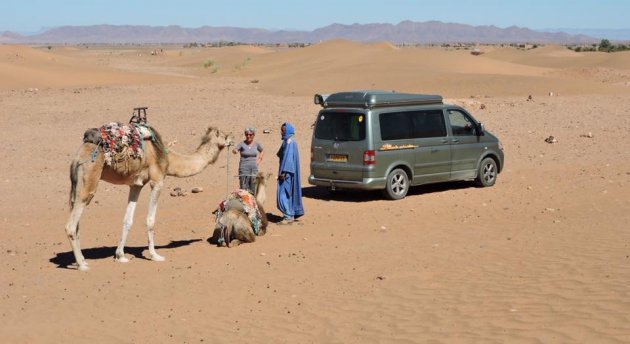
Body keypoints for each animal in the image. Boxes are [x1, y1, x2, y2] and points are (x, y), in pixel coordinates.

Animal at [66, 124, 235, 272]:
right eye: (224, 135)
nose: (233, 140)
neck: (168, 159)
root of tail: (77, 158)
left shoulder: (136, 185)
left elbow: (127, 220)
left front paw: (120, 256)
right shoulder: (157, 181)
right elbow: (150, 220)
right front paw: (155, 255)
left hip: (77, 185)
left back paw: (82, 259)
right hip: (89, 178)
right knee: (71, 225)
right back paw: (82, 265)